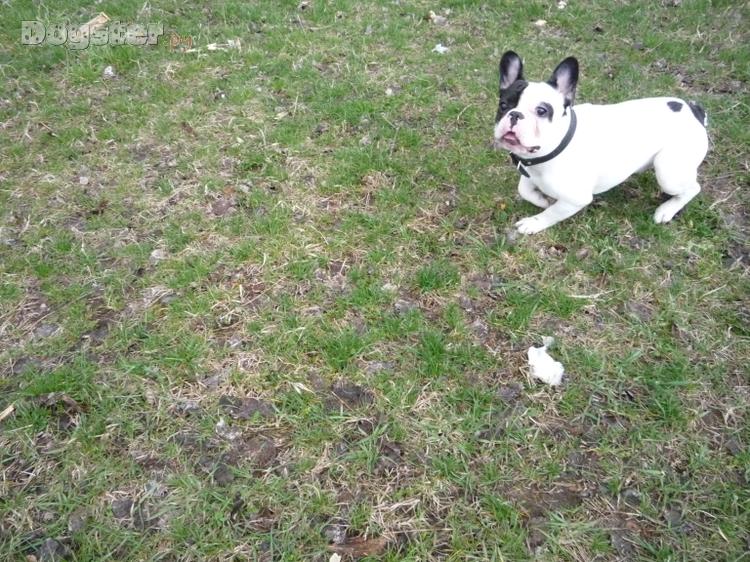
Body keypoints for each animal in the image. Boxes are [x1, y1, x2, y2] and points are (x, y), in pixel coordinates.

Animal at [492, 51, 708, 234]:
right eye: (503, 105)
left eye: (542, 111)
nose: (515, 114)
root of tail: (693, 111)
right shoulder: (528, 174)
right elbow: (524, 190)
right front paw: (542, 199)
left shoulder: (575, 200)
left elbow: (552, 213)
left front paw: (534, 223)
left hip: (668, 173)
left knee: (692, 189)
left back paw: (666, 210)